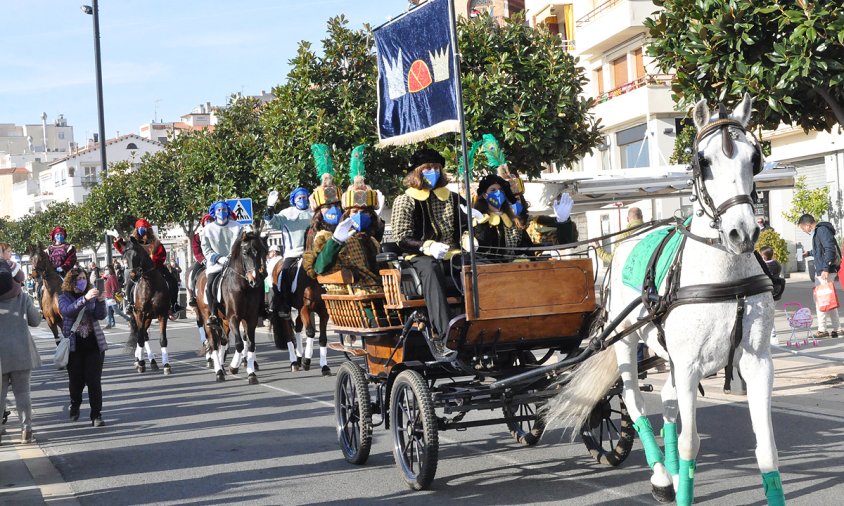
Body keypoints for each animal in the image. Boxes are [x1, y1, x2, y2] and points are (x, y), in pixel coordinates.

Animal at [122, 235, 173, 374]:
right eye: (124, 256)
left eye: (136, 254)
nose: (133, 275)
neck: (150, 284)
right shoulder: (140, 313)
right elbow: (139, 338)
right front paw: (140, 363)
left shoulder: (162, 314)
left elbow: (163, 340)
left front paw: (166, 365)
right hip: (138, 315)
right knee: (142, 336)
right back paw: (141, 360)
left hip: (149, 317)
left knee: (144, 335)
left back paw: (152, 362)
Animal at [196, 229, 266, 384]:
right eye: (245, 252)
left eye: (262, 251)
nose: (256, 280)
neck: (243, 286)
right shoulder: (234, 317)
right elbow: (239, 344)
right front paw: (234, 367)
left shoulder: (250, 318)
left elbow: (250, 344)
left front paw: (251, 373)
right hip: (208, 317)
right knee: (214, 342)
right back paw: (219, 371)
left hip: (224, 320)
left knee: (223, 340)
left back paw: (222, 366)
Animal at [548, 93, 784, 504]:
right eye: (704, 161)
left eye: (754, 157)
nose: (742, 232)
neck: (724, 277)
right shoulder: (688, 364)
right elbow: (691, 444)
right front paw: (677, 480)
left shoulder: (757, 362)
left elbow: (767, 449)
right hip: (626, 343)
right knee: (635, 404)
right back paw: (660, 474)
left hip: (666, 356)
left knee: (670, 403)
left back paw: (669, 475)